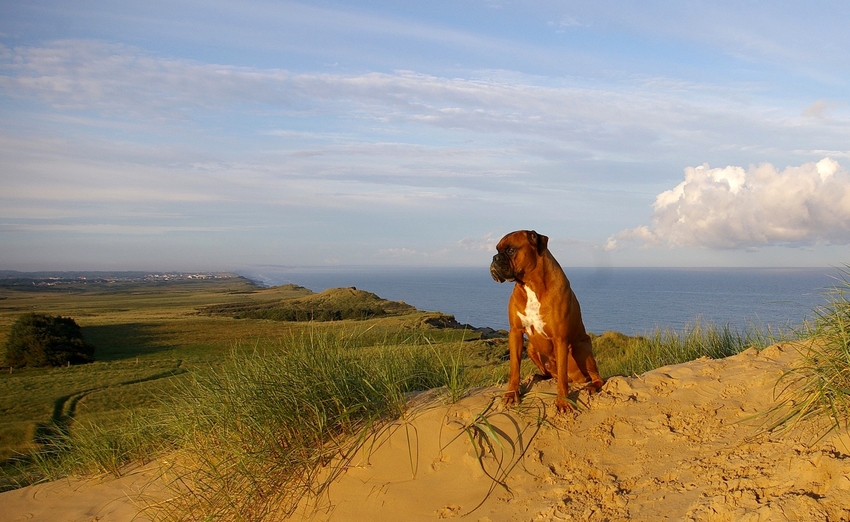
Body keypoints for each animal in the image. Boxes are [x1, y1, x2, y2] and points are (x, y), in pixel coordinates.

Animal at [490, 228, 604, 410]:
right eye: (497, 250)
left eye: (510, 250)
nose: (494, 258)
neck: (529, 285)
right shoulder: (515, 332)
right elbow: (514, 368)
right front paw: (511, 394)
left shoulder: (560, 339)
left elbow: (562, 379)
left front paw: (563, 402)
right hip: (531, 348)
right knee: (552, 374)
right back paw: (539, 377)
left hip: (580, 348)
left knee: (594, 377)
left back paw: (592, 386)